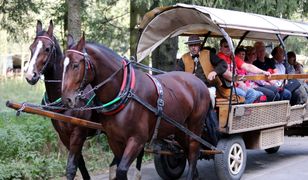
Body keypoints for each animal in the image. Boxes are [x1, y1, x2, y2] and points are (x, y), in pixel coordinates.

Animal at [24, 20, 144, 179]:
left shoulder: (78, 133)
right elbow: (80, 166)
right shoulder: (64, 135)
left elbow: (71, 168)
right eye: (31, 48)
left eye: (47, 49)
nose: (30, 75)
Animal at [62, 33, 212, 179]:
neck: (125, 92)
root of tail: (198, 81)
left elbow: (121, 170)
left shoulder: (137, 140)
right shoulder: (114, 139)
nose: (66, 99)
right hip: (179, 128)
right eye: (62, 65)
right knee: (186, 150)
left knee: (193, 151)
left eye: (75, 65)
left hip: (195, 126)